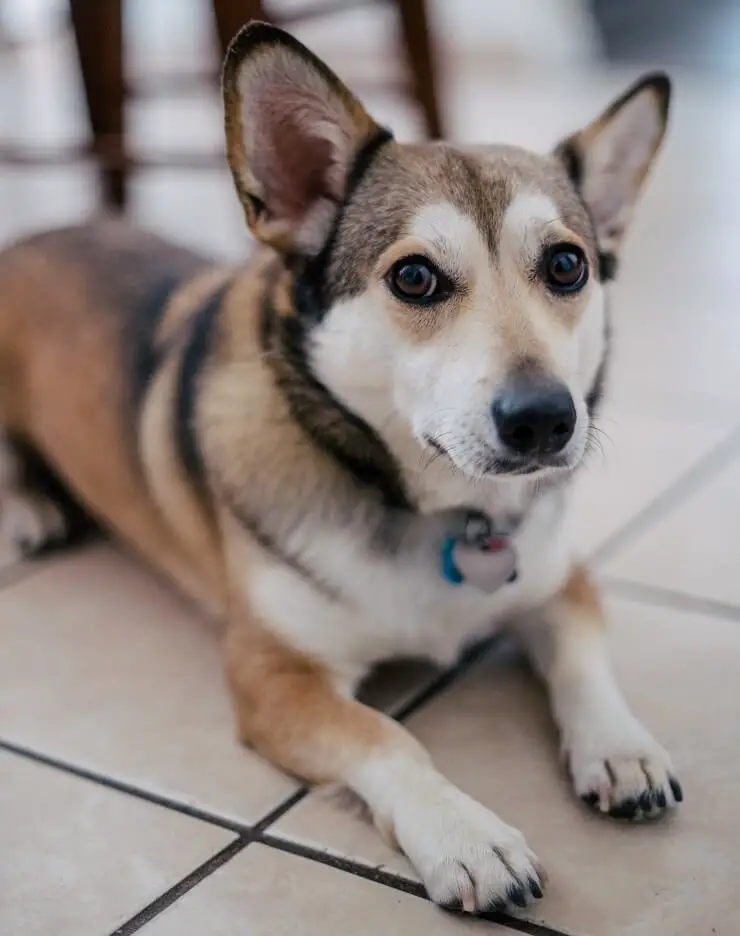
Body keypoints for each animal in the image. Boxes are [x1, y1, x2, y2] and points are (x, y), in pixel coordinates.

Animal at [0, 20, 684, 916]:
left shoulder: (559, 579)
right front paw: (466, 836)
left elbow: (584, 660)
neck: (442, 513)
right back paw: (28, 507)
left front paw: (622, 745)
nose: (544, 418)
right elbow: (384, 736)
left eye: (567, 265)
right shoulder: (275, 676)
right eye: (415, 276)